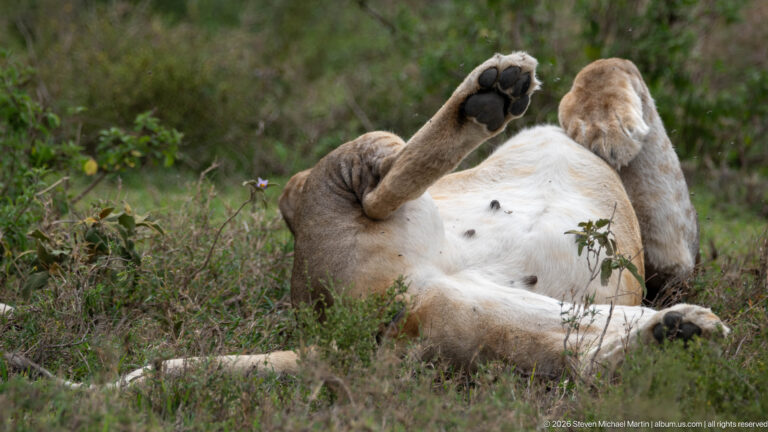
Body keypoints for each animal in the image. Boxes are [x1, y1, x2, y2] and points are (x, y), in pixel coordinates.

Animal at [3, 52, 727, 387]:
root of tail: (325, 331)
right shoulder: (667, 249)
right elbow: (615, 64)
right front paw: (602, 124)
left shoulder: (670, 259)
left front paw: (602, 125)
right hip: (326, 187)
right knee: (383, 186)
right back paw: (493, 91)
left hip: (460, 318)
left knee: (573, 352)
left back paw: (681, 332)